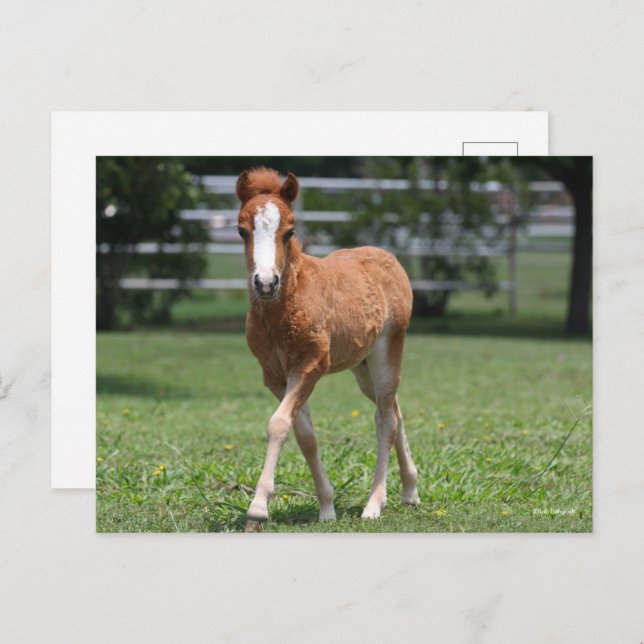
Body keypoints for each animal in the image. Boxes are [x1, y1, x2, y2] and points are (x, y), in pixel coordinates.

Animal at [235, 167, 420, 531]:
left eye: (290, 231)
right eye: (241, 231)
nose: (265, 283)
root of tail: (388, 257)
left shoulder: (310, 366)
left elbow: (278, 424)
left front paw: (257, 510)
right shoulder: (275, 376)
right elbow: (304, 435)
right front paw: (327, 506)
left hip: (387, 350)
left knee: (385, 420)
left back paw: (375, 504)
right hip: (362, 367)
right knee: (394, 409)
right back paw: (410, 490)